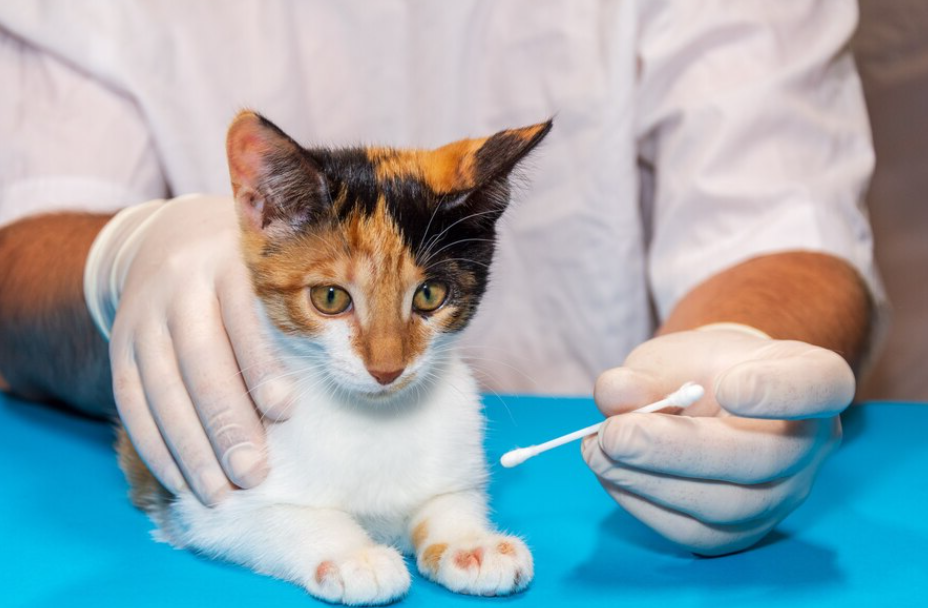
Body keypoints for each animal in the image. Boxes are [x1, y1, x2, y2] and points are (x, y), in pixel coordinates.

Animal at [116, 110, 552, 604]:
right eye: (330, 297)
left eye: (430, 295)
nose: (386, 368)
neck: (372, 420)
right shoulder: (204, 500)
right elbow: (277, 516)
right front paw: (353, 555)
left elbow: (450, 499)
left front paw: (470, 542)